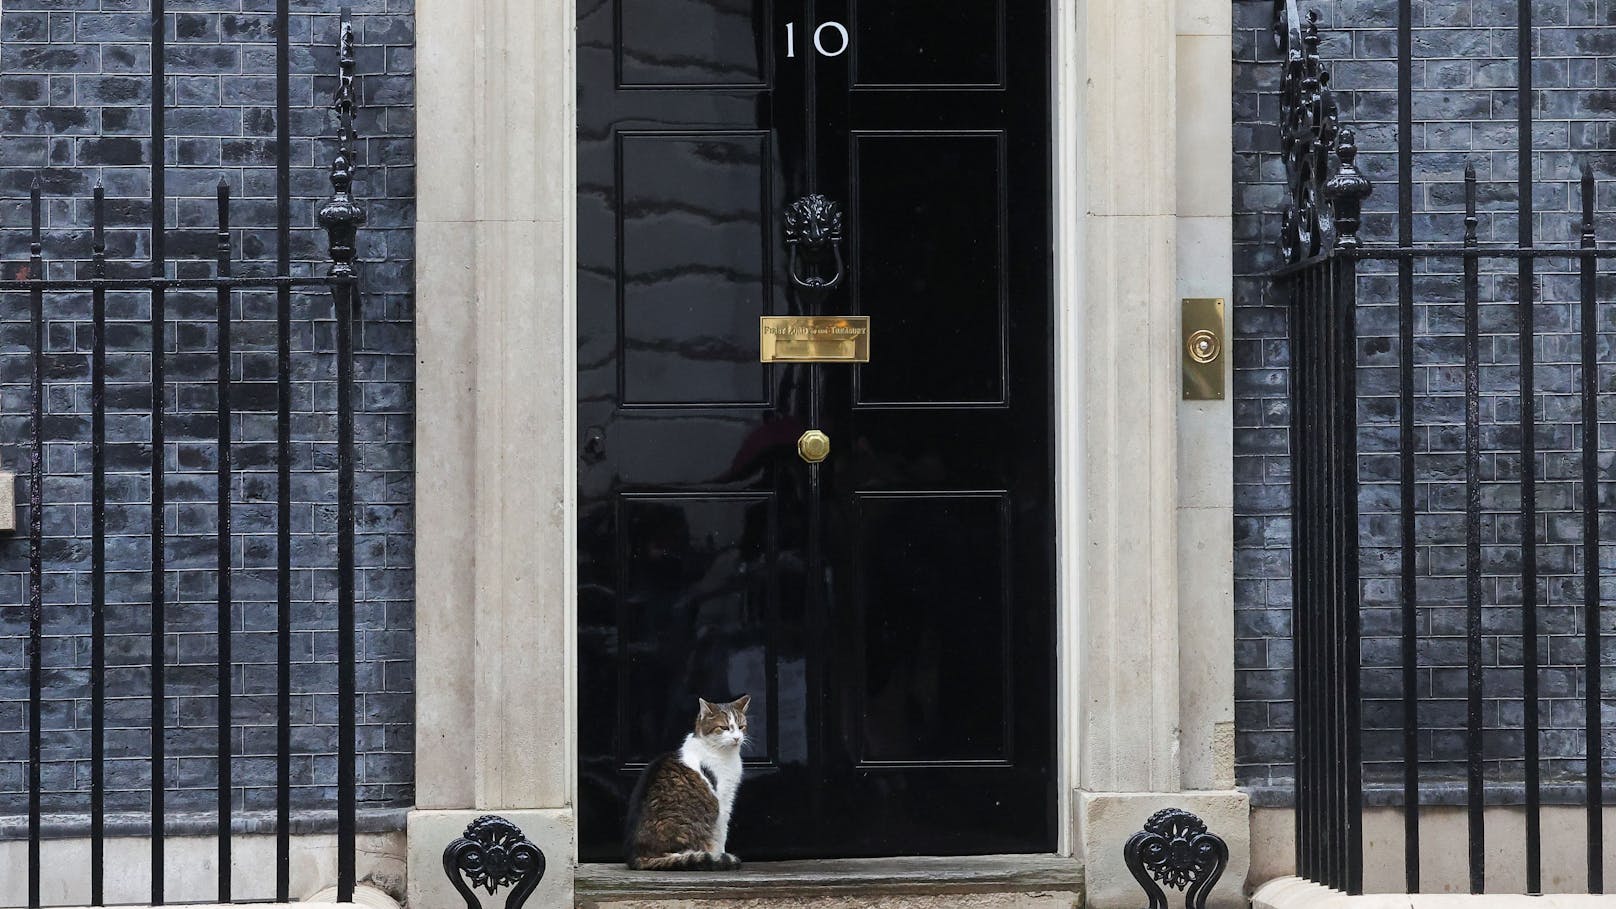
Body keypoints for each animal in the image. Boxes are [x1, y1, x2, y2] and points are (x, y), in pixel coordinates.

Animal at [623, 692, 749, 873]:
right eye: (724, 727)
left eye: (741, 726)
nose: (737, 738)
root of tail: (636, 856)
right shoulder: (724, 800)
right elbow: (721, 833)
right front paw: (720, 855)